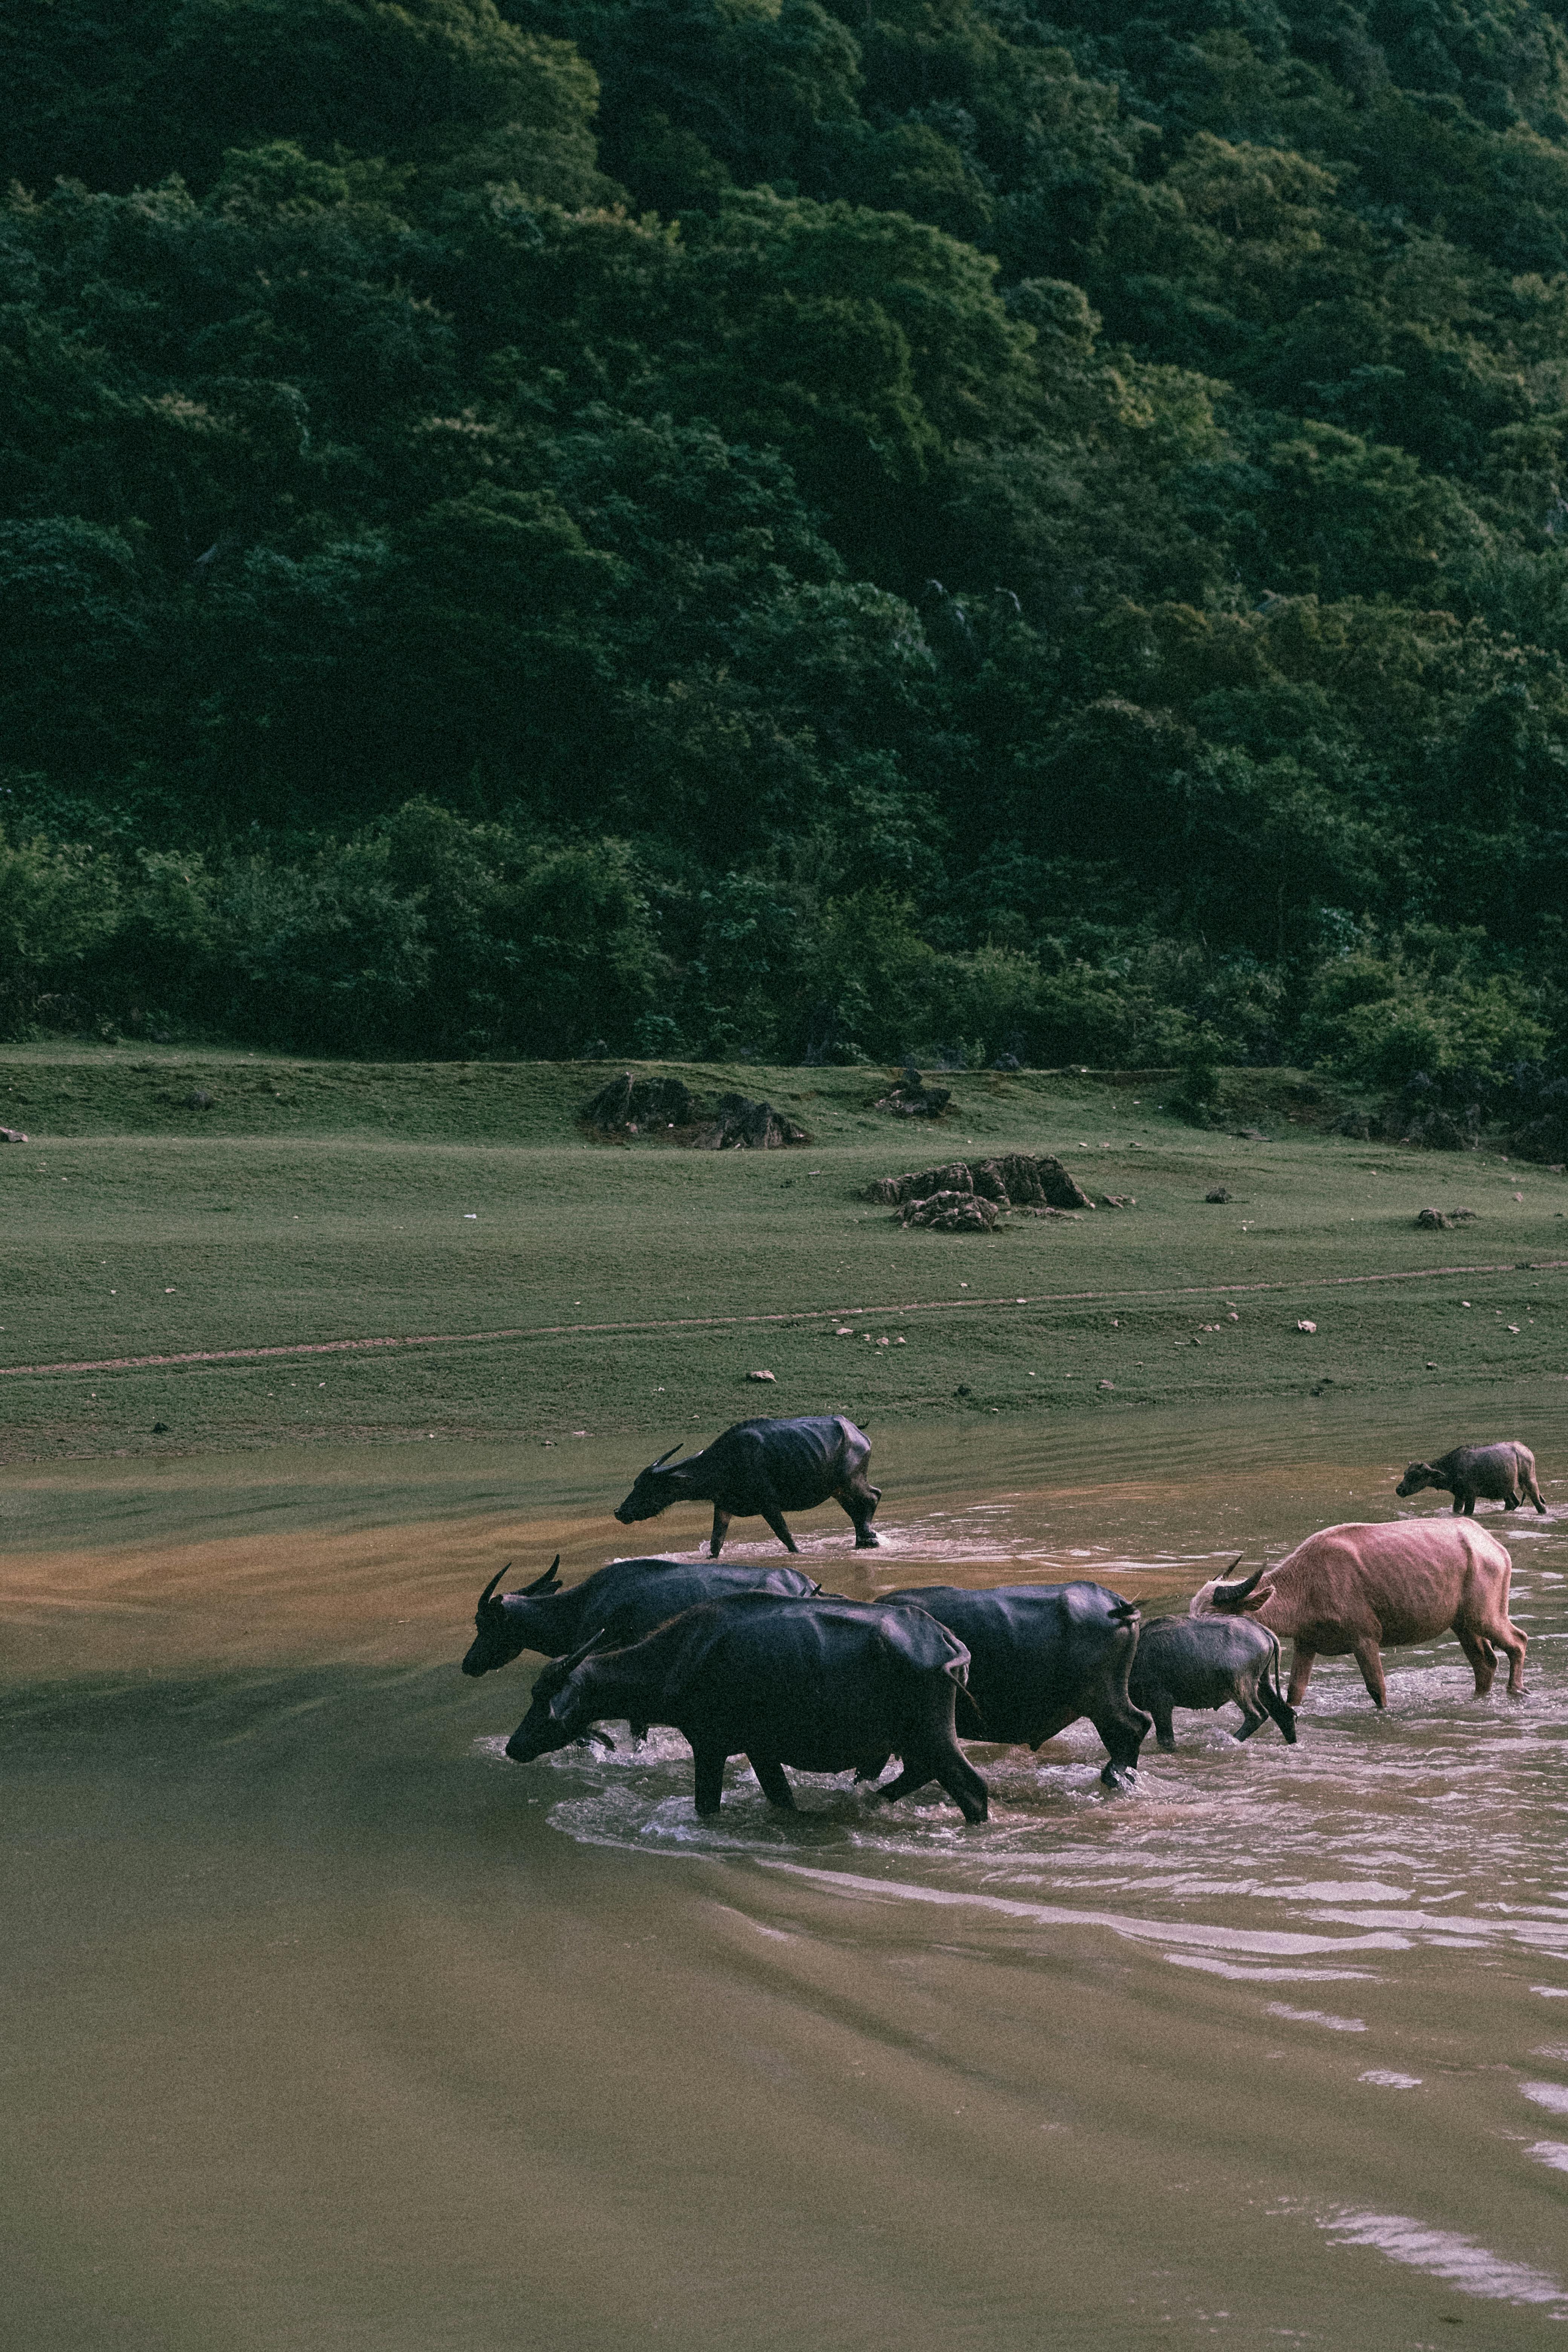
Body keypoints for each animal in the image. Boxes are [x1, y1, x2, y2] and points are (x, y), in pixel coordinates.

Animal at [504, 1590, 989, 1821]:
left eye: (542, 1696)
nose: (514, 1746)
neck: (681, 1656)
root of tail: (947, 1643)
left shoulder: (709, 1744)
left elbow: (707, 1806)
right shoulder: (761, 1750)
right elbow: (781, 1799)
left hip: (931, 1733)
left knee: (971, 1787)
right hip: (912, 1738)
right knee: (917, 1774)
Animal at [614, 1414, 881, 1555]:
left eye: (650, 1486)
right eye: (637, 1483)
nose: (620, 1512)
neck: (724, 1465)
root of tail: (858, 1432)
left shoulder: (769, 1504)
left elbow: (786, 1537)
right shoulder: (723, 1507)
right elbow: (716, 1543)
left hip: (852, 1480)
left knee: (873, 1496)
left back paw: (869, 1539)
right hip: (838, 1489)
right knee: (856, 1509)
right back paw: (863, 1540)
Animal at [1129, 1615, 1297, 1750]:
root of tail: (1262, 1630)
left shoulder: (1161, 1702)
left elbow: (1166, 1739)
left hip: (1242, 1687)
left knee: (1258, 1715)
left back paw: (1231, 1740)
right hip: (1262, 1683)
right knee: (1283, 1714)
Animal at [1190, 1519, 1526, 1708]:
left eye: (1214, 1617)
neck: (1307, 1585)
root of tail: (1492, 1545)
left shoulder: (1366, 1640)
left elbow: (1378, 1690)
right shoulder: (1306, 1644)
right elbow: (1295, 1693)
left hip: (1486, 1615)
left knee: (1518, 1642)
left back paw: (1516, 1690)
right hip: (1463, 1623)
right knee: (1485, 1662)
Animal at [1396, 1441, 1546, 1516]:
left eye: (1415, 1476)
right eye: (1405, 1473)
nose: (1399, 1490)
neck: (1451, 1471)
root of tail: (1528, 1452)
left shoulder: (1470, 1495)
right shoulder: (1459, 1495)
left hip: (1529, 1481)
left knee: (1541, 1506)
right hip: (1507, 1489)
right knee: (1513, 1503)